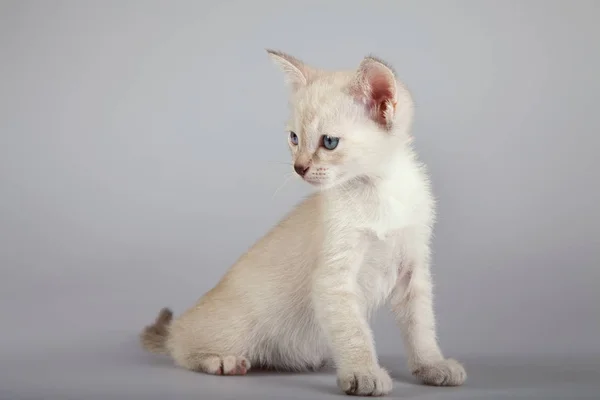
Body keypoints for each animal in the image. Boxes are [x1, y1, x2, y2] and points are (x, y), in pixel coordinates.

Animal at [142, 50, 468, 396]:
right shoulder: (333, 279)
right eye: (294, 138)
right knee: (182, 347)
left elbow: (421, 328)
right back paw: (222, 361)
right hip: (232, 328)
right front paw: (363, 373)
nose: (299, 168)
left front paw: (433, 366)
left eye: (329, 142)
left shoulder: (413, 271)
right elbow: (354, 332)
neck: (378, 190)